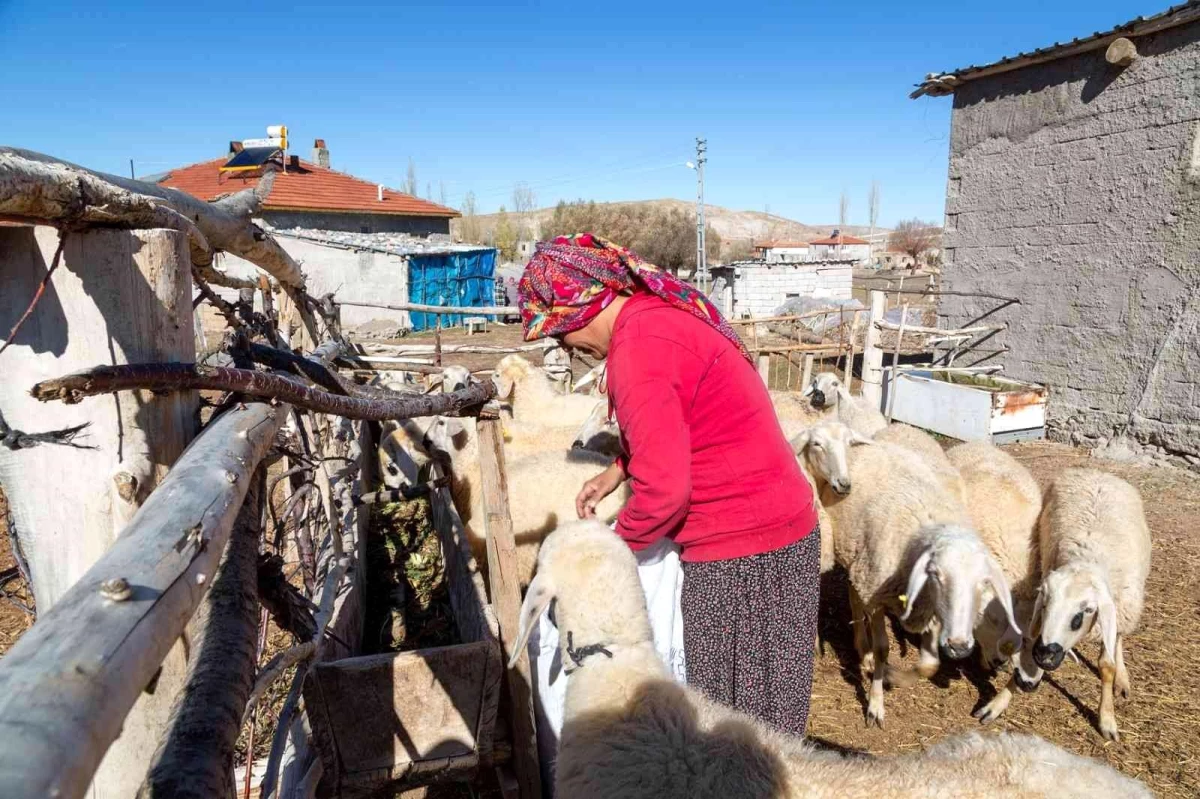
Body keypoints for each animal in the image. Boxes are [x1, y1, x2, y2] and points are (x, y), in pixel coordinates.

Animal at [1027, 467, 1147, 739]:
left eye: (1086, 610)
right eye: (1045, 602)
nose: (1044, 653)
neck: (1089, 559)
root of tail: (1096, 472)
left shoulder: (1116, 612)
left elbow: (1107, 665)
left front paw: (1107, 719)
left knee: (1119, 639)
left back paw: (1122, 678)